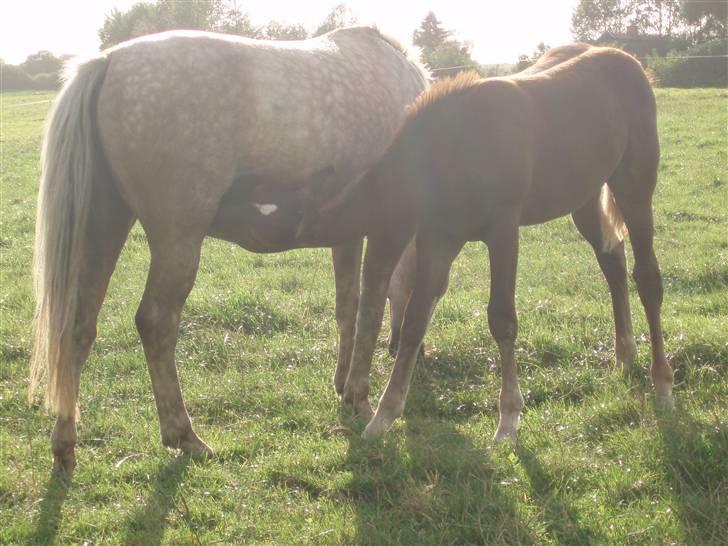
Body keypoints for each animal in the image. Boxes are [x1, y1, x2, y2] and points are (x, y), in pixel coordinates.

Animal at [31, 26, 426, 468]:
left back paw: (65, 445)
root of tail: (108, 62)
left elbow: (349, 309)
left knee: (77, 329)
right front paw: (359, 398)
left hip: (104, 226)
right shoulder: (388, 230)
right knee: (156, 323)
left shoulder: (348, 236)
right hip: (177, 240)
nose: (417, 354)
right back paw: (184, 435)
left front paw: (341, 386)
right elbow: (372, 310)